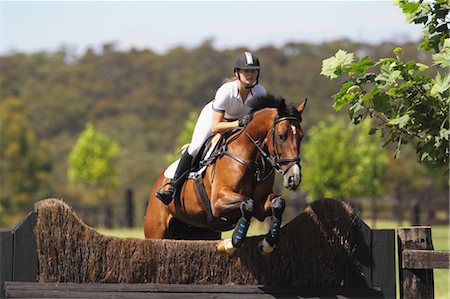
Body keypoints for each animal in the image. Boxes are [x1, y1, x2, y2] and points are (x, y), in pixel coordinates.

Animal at [144, 96, 306, 255]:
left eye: (301, 136)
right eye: (282, 135)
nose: (294, 178)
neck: (251, 158)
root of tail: (158, 183)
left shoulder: (261, 204)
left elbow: (278, 203)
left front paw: (268, 244)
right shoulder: (218, 202)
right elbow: (248, 204)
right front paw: (231, 243)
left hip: (201, 231)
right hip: (157, 230)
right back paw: (167, 192)